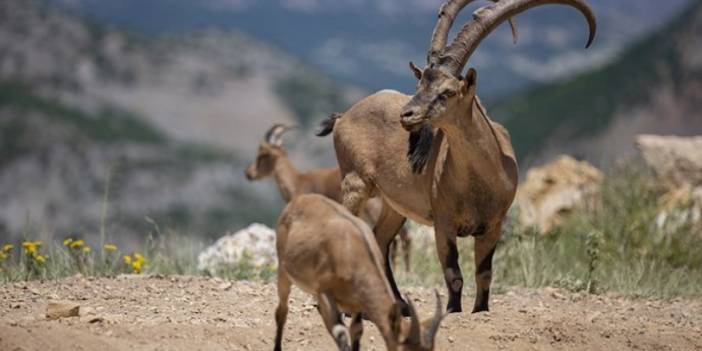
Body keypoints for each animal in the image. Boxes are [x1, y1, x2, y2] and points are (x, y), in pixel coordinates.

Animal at [276, 194, 446, 351]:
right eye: (405, 349)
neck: (354, 251)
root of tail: (298, 200)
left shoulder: (357, 302)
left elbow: (356, 331)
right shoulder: (323, 293)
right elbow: (340, 333)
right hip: (283, 273)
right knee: (281, 312)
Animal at [320, 0, 600, 314]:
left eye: (447, 92)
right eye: (419, 86)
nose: (407, 115)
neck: (479, 181)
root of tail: (344, 116)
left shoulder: (493, 225)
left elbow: (484, 274)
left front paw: (480, 310)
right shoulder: (444, 224)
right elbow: (453, 274)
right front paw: (453, 310)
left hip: (395, 205)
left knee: (379, 240)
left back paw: (398, 304)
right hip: (354, 183)